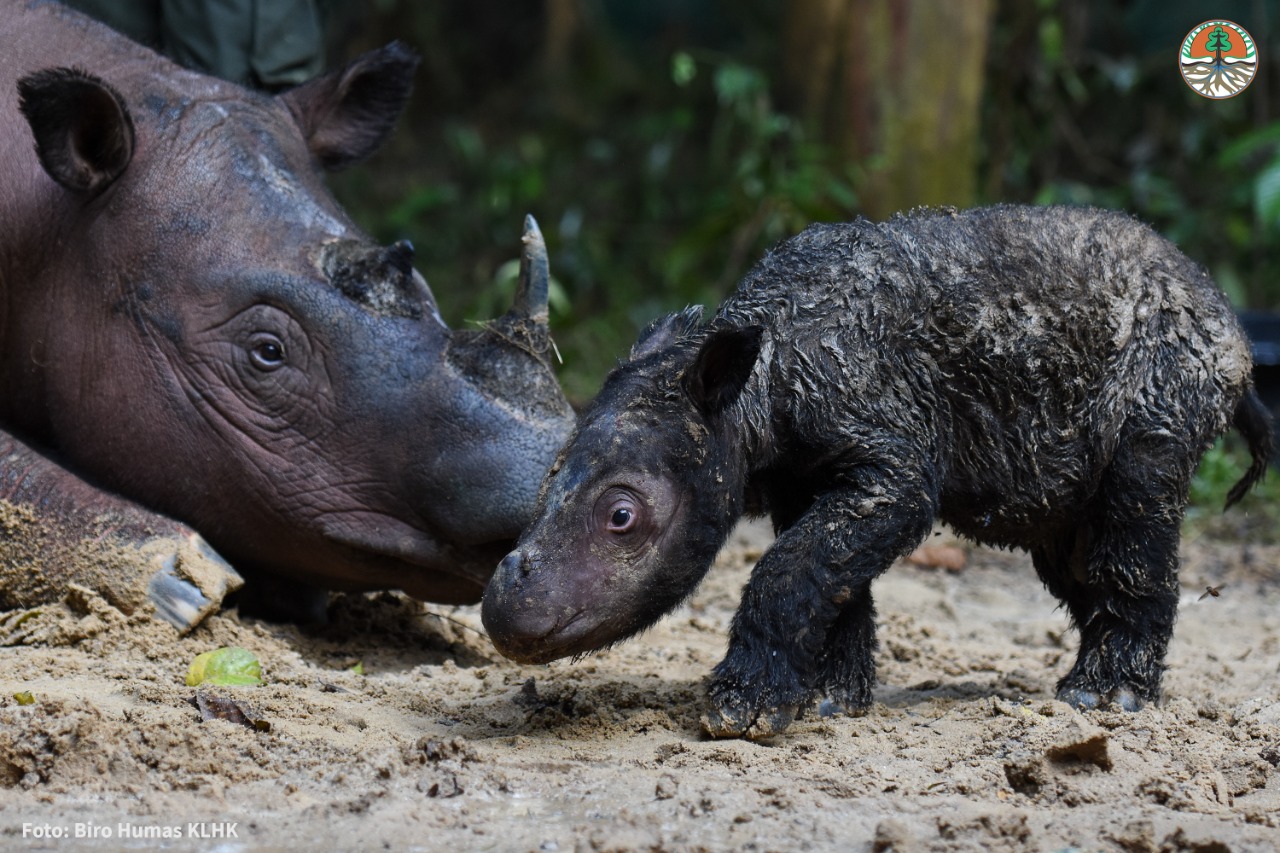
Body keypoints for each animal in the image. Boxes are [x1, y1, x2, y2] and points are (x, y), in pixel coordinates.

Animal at [481, 202, 1269, 732]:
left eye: (622, 516)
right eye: (547, 477)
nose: (502, 611)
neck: (754, 386)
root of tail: (1232, 326)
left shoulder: (891, 463)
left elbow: (789, 569)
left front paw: (742, 713)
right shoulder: (807, 477)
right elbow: (829, 574)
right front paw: (827, 701)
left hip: (1170, 377)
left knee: (1134, 504)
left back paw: (1104, 701)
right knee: (1071, 542)